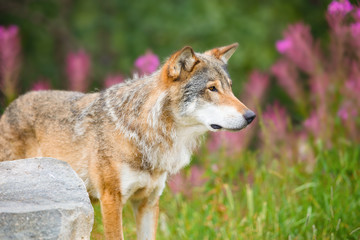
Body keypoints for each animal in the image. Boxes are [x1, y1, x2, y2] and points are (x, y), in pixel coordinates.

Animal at [0, 43, 256, 240]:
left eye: (230, 88)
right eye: (212, 89)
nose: (251, 116)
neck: (146, 132)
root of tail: (11, 105)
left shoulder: (148, 201)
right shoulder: (112, 199)